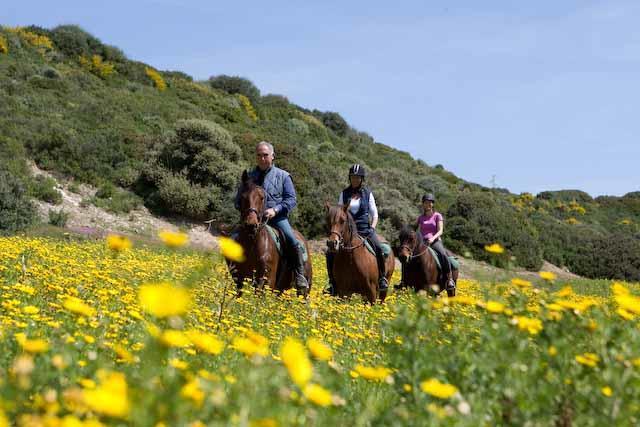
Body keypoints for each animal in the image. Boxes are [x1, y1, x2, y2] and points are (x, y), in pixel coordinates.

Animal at [226, 172, 314, 300]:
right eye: (242, 197)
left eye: (262, 197)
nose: (251, 225)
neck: (252, 244)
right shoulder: (239, 279)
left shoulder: (267, 280)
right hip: (281, 289)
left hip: (304, 290)